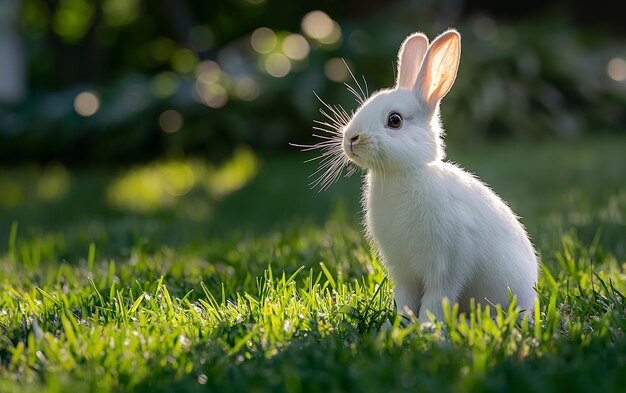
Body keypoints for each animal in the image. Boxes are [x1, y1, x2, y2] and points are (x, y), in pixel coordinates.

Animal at [336, 29, 540, 322]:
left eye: (394, 120)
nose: (351, 138)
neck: (405, 172)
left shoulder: (445, 266)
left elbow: (436, 299)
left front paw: (426, 328)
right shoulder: (404, 273)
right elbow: (405, 300)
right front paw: (398, 326)